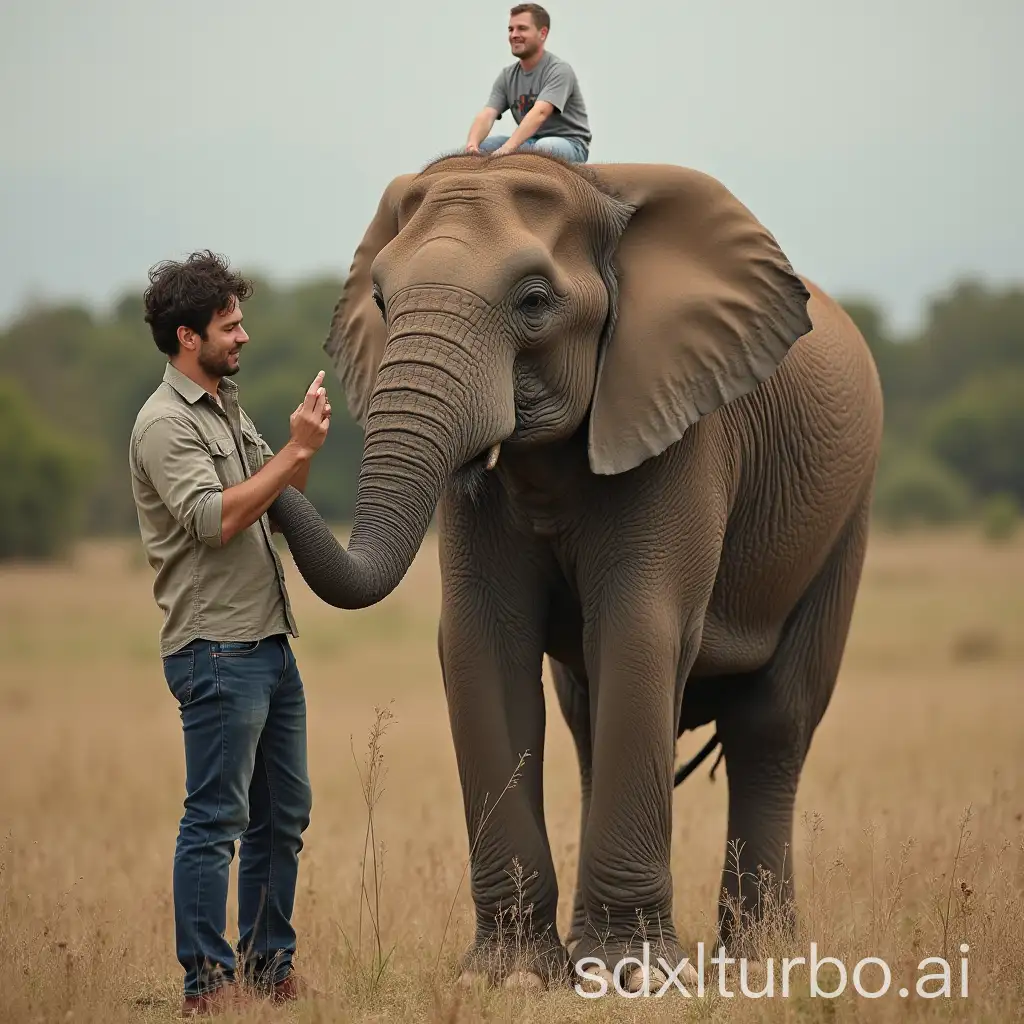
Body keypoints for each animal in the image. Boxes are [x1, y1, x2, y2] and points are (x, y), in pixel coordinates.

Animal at [268, 151, 884, 991]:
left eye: (534, 301)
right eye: (382, 300)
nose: (273, 457)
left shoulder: (678, 418)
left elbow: (640, 631)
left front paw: (633, 979)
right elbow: (481, 647)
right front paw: (512, 978)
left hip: (845, 512)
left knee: (773, 723)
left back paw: (762, 961)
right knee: (591, 717)